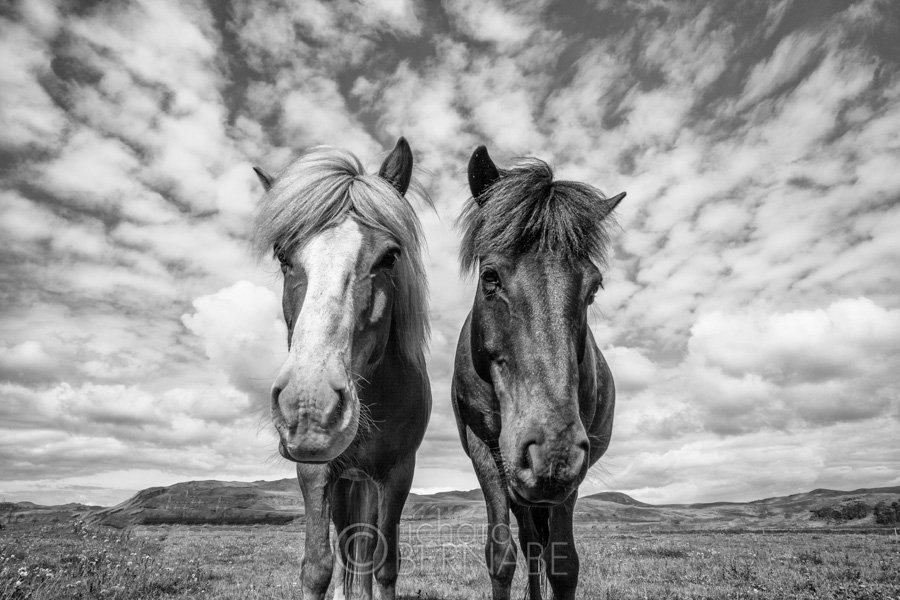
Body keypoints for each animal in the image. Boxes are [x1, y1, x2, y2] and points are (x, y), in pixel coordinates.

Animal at [252, 138, 431, 600]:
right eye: (283, 256)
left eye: (390, 257)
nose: (308, 410)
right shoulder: (316, 472)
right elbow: (317, 567)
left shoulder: (397, 473)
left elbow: (382, 565)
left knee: (363, 550)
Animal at [451, 146, 626, 600]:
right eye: (490, 277)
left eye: (593, 288)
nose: (554, 453)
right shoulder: (485, 450)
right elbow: (501, 556)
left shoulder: (573, 475)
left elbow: (563, 564)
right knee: (529, 543)